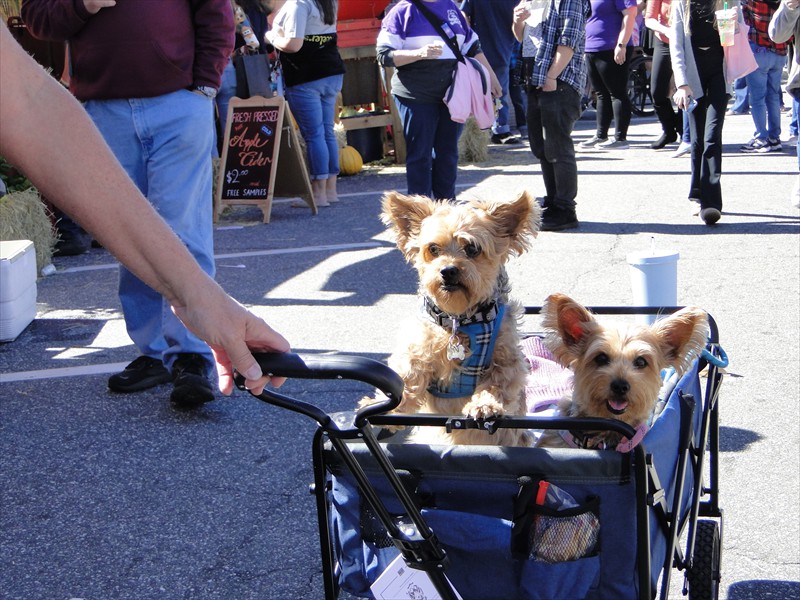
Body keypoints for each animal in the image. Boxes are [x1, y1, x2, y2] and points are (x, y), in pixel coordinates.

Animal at [362, 192, 544, 446]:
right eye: (433, 249)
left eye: (473, 248)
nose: (448, 270)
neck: (459, 319)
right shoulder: (417, 349)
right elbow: (407, 376)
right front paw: (389, 408)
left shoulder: (507, 358)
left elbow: (497, 383)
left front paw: (485, 405)